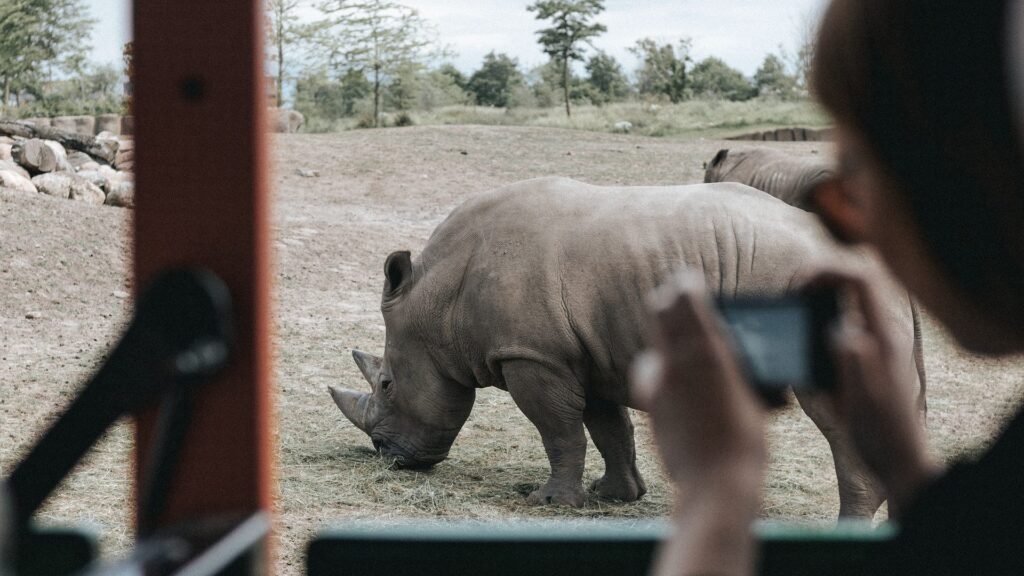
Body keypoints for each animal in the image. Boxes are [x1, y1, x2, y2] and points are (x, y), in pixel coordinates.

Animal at [331, 177, 924, 518]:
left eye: (387, 383)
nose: (387, 456)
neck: (438, 299)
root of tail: (879, 265)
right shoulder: (585, 351)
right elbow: (606, 427)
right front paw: (614, 496)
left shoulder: (532, 354)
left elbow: (558, 429)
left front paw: (548, 503)